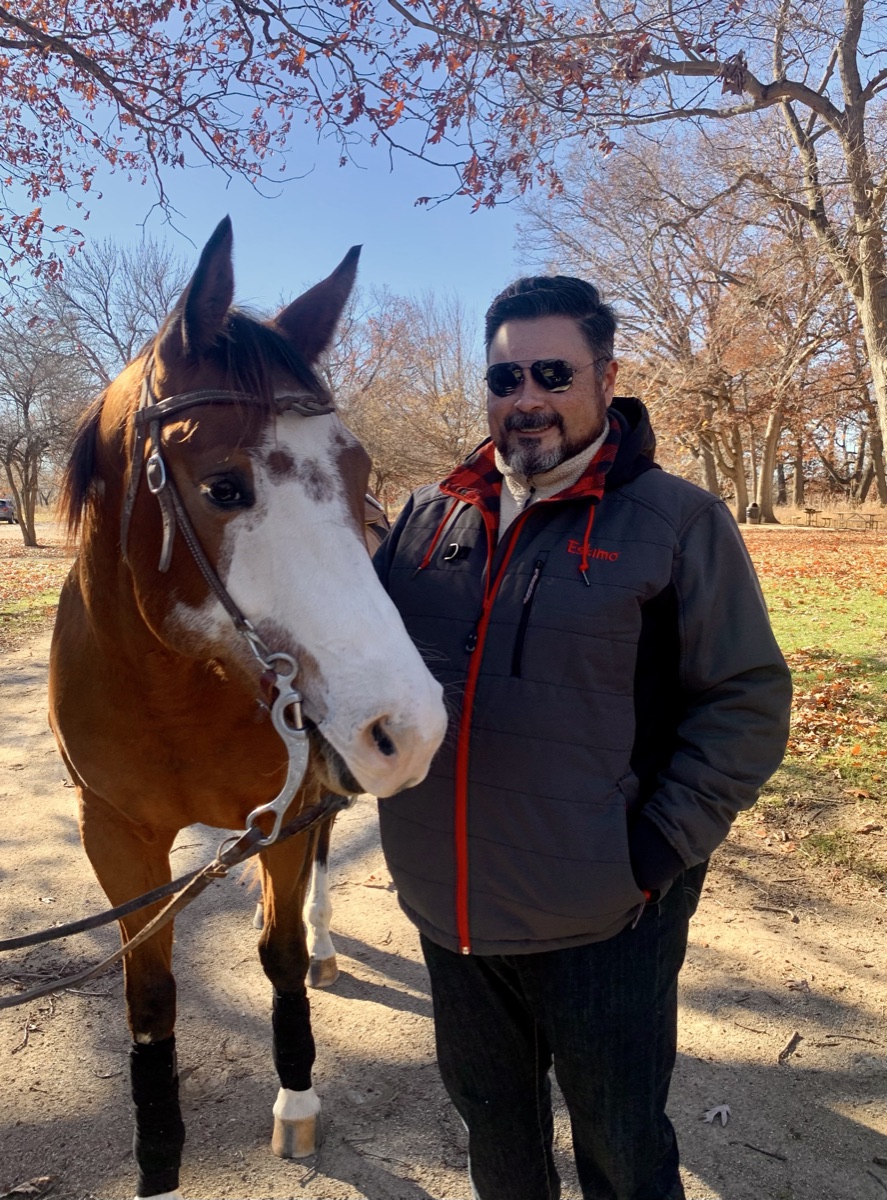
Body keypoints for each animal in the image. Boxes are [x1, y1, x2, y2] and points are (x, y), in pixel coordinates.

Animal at [48, 217, 447, 1200]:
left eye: (356, 466)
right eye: (224, 486)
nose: (411, 728)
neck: (173, 686)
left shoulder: (286, 812)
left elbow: (277, 956)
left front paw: (297, 1100)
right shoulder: (114, 834)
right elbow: (148, 994)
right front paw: (158, 1159)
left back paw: (326, 941)